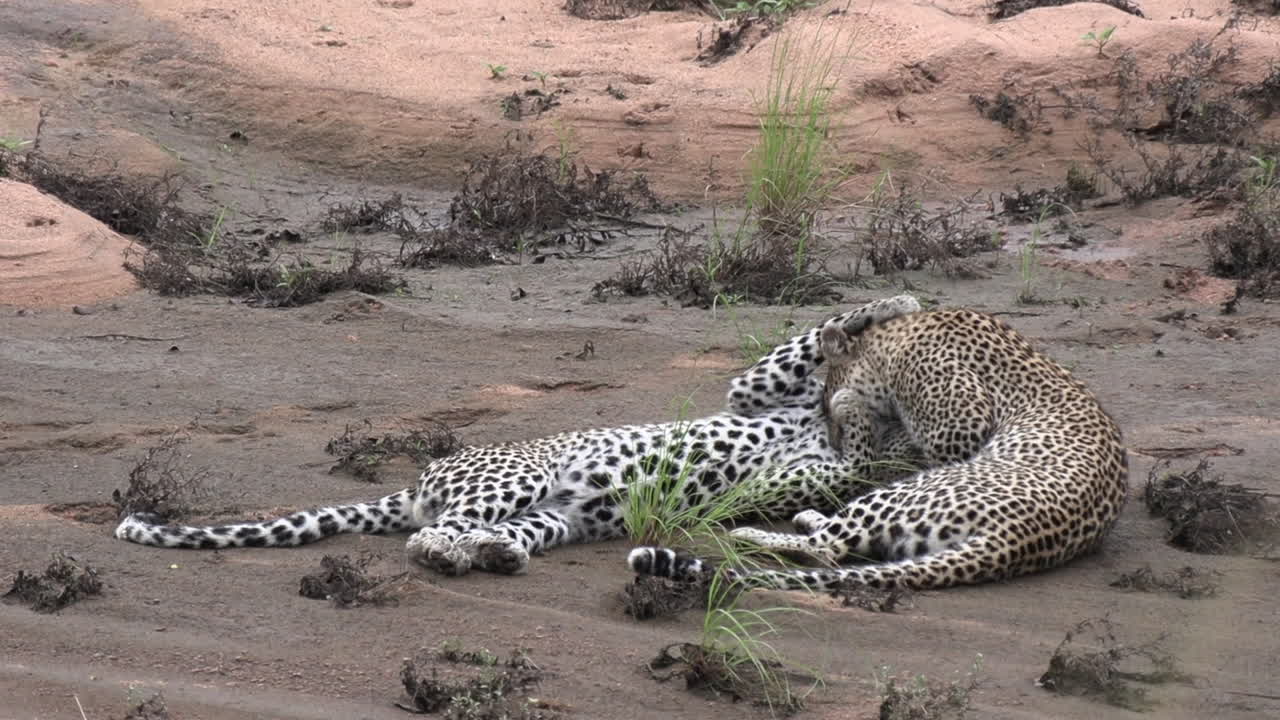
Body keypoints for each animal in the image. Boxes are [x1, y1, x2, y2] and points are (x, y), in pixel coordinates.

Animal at [114, 295, 924, 578]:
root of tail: (418, 483)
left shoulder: (817, 466)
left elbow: (848, 462)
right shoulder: (758, 393)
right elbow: (809, 338)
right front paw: (891, 306)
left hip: (558, 517)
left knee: (475, 534)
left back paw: (494, 554)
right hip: (518, 478)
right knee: (428, 535)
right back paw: (459, 552)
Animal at [629, 306, 1129, 592]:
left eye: (825, 406)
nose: (830, 433)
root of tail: (1017, 541)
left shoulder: (960, 424)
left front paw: (851, 407)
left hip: (910, 490)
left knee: (827, 550)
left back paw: (752, 534)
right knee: (840, 546)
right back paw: (807, 516)